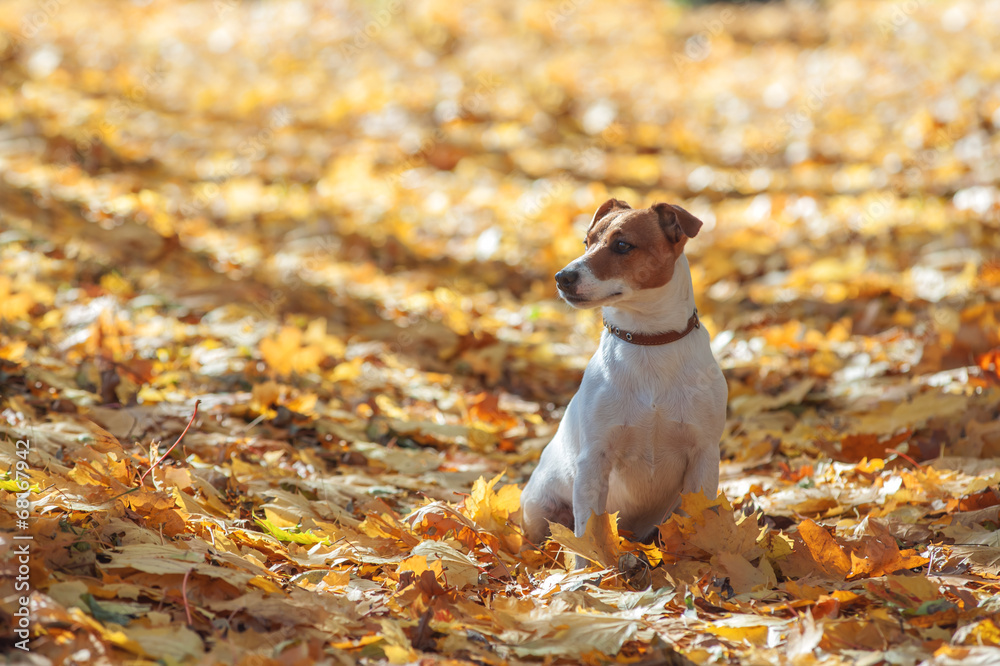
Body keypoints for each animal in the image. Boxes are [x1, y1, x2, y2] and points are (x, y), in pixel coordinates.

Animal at [524, 197, 728, 560]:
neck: (648, 341)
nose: (562, 277)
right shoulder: (594, 459)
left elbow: (698, 518)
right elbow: (589, 534)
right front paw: (593, 570)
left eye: (622, 245)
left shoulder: (703, 455)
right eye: (586, 242)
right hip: (539, 506)